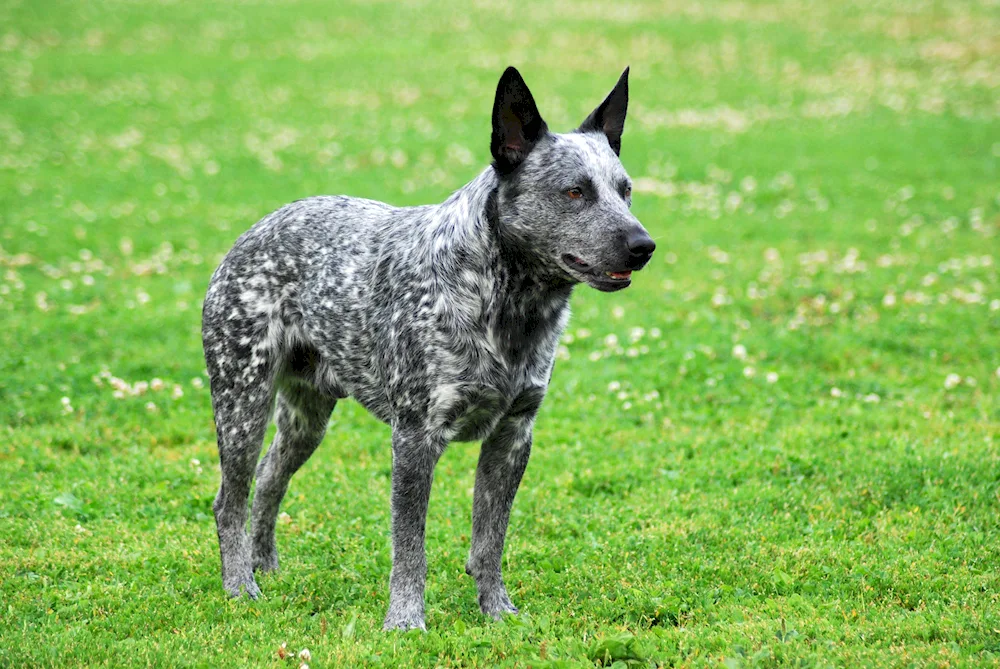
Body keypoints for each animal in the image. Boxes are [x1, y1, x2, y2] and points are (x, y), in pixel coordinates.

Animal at [203, 68, 656, 632]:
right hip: (242, 404)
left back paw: (264, 566)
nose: (643, 246)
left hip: (306, 417)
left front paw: (497, 610)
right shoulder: (416, 439)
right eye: (574, 191)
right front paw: (404, 621)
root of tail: (254, 231)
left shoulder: (513, 436)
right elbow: (410, 546)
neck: (503, 305)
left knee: (268, 481)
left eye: (625, 190)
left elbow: (489, 541)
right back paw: (240, 585)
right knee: (230, 500)